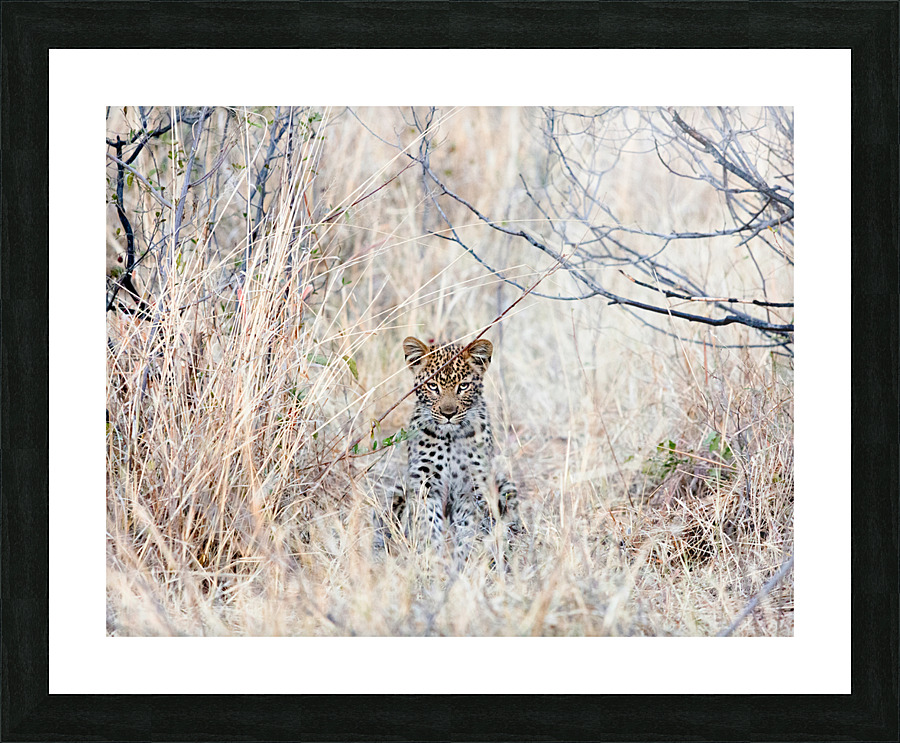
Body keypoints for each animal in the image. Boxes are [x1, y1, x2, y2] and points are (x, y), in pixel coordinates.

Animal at [389, 335, 518, 566]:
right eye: (432, 386)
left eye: (463, 386)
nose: (448, 413)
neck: (449, 437)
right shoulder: (425, 482)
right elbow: (428, 522)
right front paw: (432, 559)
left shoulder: (472, 486)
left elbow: (469, 527)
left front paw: (465, 561)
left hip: (504, 485)